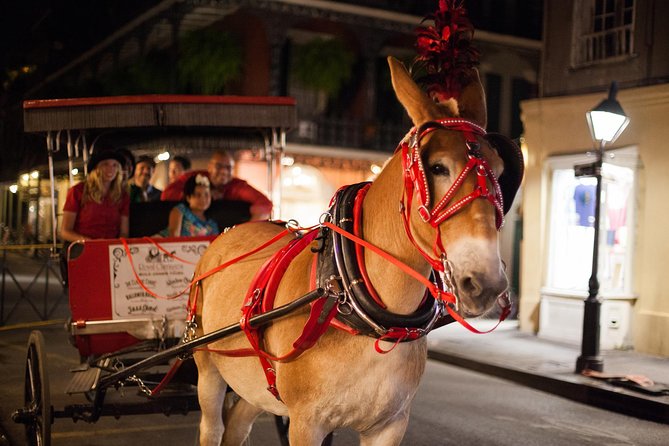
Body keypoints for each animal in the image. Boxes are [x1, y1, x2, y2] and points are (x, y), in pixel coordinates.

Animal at [192, 56, 522, 446]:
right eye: (438, 167)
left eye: (500, 172)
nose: (486, 282)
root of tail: (230, 232)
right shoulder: (305, 422)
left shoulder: (391, 424)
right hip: (208, 367)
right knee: (212, 425)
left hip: (254, 388)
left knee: (238, 424)